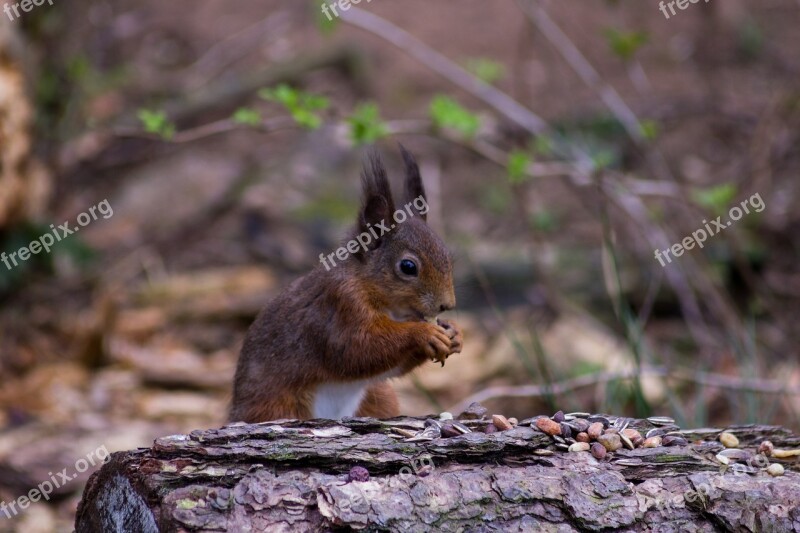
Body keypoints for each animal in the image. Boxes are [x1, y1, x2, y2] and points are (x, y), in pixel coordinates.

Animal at [228, 148, 462, 422]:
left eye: (447, 255)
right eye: (408, 267)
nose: (447, 305)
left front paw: (455, 333)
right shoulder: (341, 304)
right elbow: (356, 351)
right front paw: (424, 333)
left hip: (379, 397)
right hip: (274, 407)